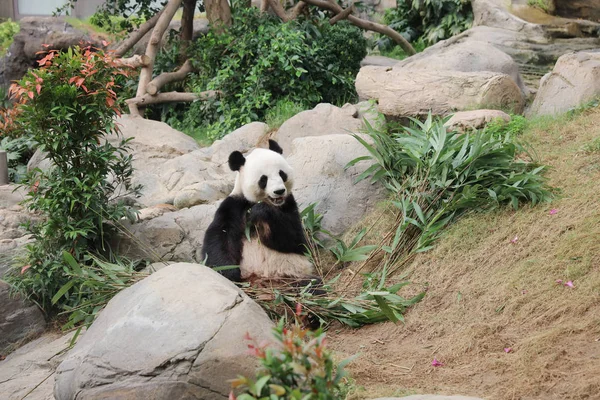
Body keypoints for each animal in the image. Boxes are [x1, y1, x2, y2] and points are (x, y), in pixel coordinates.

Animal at [200, 139, 316, 282]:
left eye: (282, 173)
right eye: (263, 179)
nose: (279, 191)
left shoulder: (289, 204)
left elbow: (296, 240)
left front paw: (260, 212)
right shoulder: (234, 206)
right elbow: (219, 238)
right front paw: (229, 272)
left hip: (295, 276)